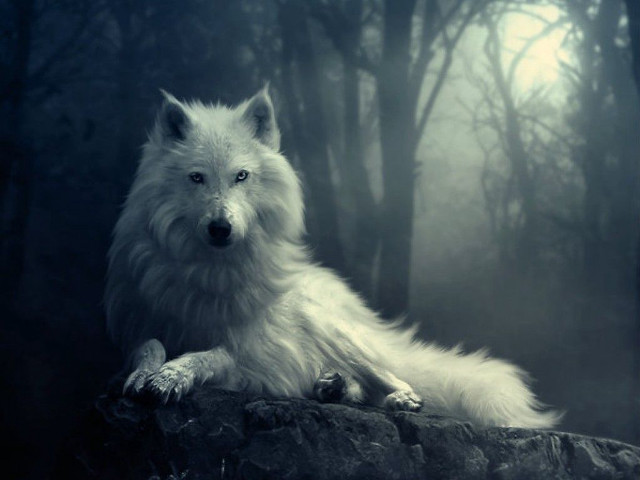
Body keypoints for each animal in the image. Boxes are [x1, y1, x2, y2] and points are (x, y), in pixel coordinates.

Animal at [105, 87, 560, 428]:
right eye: (196, 178)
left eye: (241, 176)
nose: (221, 228)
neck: (210, 272)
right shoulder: (137, 324)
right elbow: (148, 346)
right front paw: (146, 373)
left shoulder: (250, 353)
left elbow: (209, 355)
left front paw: (172, 376)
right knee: (355, 385)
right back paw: (332, 386)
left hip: (336, 332)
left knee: (396, 379)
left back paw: (397, 398)